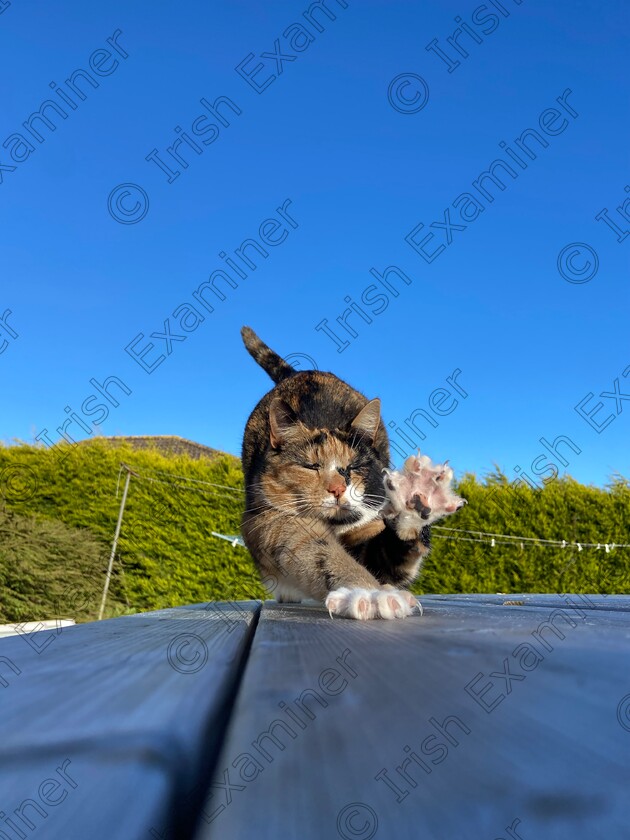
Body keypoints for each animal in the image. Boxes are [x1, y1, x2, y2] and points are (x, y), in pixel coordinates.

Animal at [239, 324, 466, 620]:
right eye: (311, 466)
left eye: (355, 467)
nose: (338, 488)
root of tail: (301, 373)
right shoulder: (270, 520)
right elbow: (317, 552)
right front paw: (369, 594)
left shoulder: (369, 529)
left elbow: (386, 556)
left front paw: (418, 496)